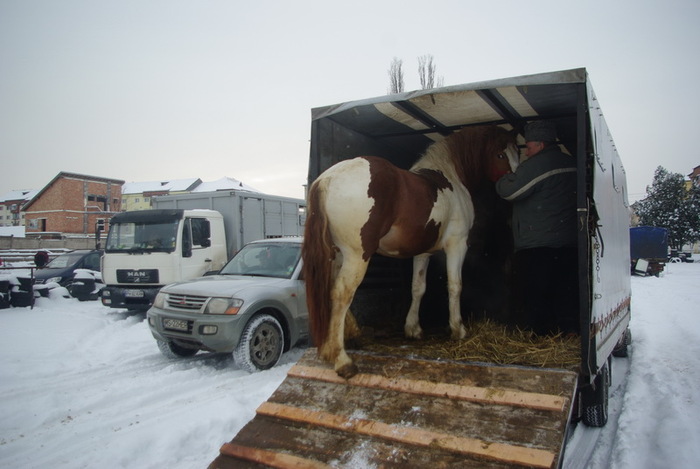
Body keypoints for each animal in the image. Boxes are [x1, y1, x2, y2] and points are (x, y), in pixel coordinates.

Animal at [300, 123, 520, 376]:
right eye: (500, 155)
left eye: (518, 151)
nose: (515, 188)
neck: (449, 177)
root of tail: (328, 179)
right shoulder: (457, 245)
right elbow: (455, 286)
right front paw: (458, 329)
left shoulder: (422, 252)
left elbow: (418, 288)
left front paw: (413, 329)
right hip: (357, 255)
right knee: (342, 293)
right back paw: (341, 359)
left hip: (336, 255)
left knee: (332, 289)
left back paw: (348, 337)